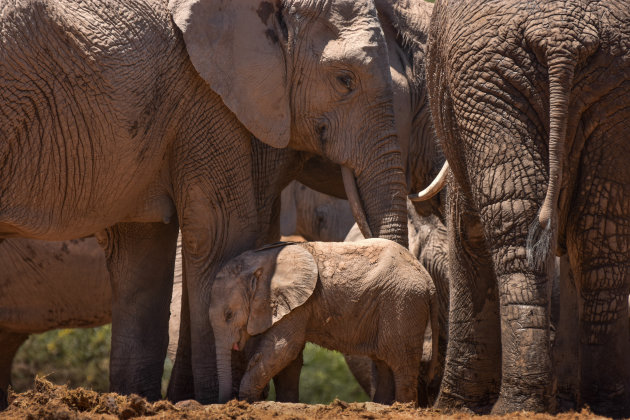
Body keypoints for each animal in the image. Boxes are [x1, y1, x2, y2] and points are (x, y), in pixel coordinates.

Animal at [0, 0, 408, 406]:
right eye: (345, 80)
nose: (386, 399)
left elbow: (143, 251)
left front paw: (140, 401)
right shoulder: (202, 93)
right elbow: (221, 232)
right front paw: (211, 401)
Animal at [211, 238, 440, 406]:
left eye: (229, 315)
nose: (226, 401)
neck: (259, 262)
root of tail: (427, 278)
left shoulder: (298, 304)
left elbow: (281, 350)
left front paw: (246, 401)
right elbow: (289, 358)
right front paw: (286, 403)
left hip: (403, 303)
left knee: (401, 362)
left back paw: (402, 407)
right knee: (383, 361)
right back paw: (380, 405)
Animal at [424, 0, 630, 414]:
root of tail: (562, 33)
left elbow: (467, 235)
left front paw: (452, 408)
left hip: (488, 81)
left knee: (518, 226)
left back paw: (517, 406)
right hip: (607, 85)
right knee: (599, 231)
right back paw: (603, 407)